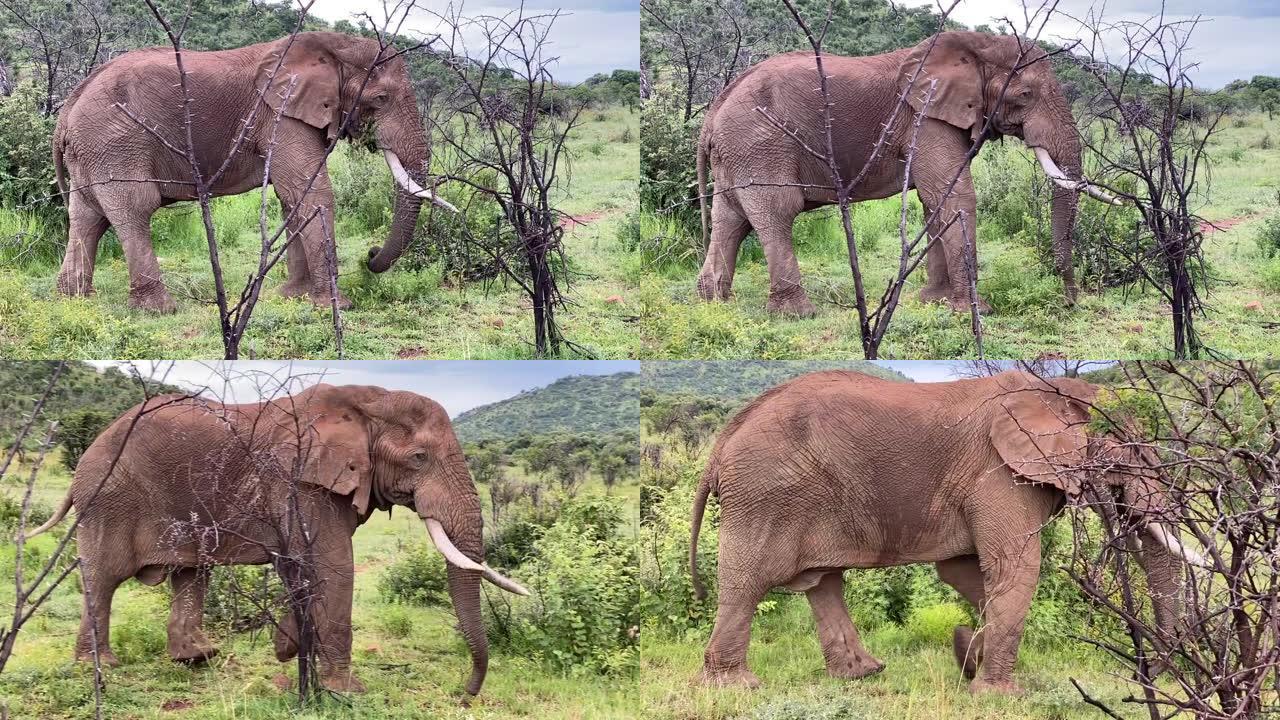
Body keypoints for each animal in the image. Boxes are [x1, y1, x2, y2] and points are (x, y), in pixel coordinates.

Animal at [20, 384, 522, 691]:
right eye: (419, 457)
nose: (465, 693)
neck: (368, 399)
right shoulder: (298, 479)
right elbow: (332, 564)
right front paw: (346, 690)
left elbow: (298, 563)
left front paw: (289, 649)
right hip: (109, 497)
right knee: (103, 579)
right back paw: (100, 667)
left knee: (190, 573)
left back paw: (197, 658)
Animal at [53, 31, 455, 311]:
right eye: (381, 99)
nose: (370, 255)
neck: (334, 45)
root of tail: (68, 106)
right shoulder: (281, 113)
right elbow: (312, 192)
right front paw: (335, 307)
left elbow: (291, 196)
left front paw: (293, 296)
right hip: (114, 141)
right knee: (134, 208)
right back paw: (159, 310)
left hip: (92, 150)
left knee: (87, 215)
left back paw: (74, 299)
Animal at [691, 368, 1198, 691]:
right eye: (1129, 448)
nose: (1141, 676)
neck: (1054, 390)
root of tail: (721, 445)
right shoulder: (998, 472)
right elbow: (1015, 569)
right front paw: (996, 694)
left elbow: (965, 574)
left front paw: (967, 654)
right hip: (765, 494)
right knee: (748, 582)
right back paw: (735, 686)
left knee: (823, 582)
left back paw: (863, 674)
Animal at [696, 32, 1116, 315]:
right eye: (1026, 95)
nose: (1069, 300)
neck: (976, 45)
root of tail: (713, 111)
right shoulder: (925, 117)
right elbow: (955, 195)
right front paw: (973, 312)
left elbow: (934, 200)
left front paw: (934, 301)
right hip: (759, 143)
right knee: (777, 211)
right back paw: (797, 314)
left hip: (738, 152)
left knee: (731, 218)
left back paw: (715, 302)